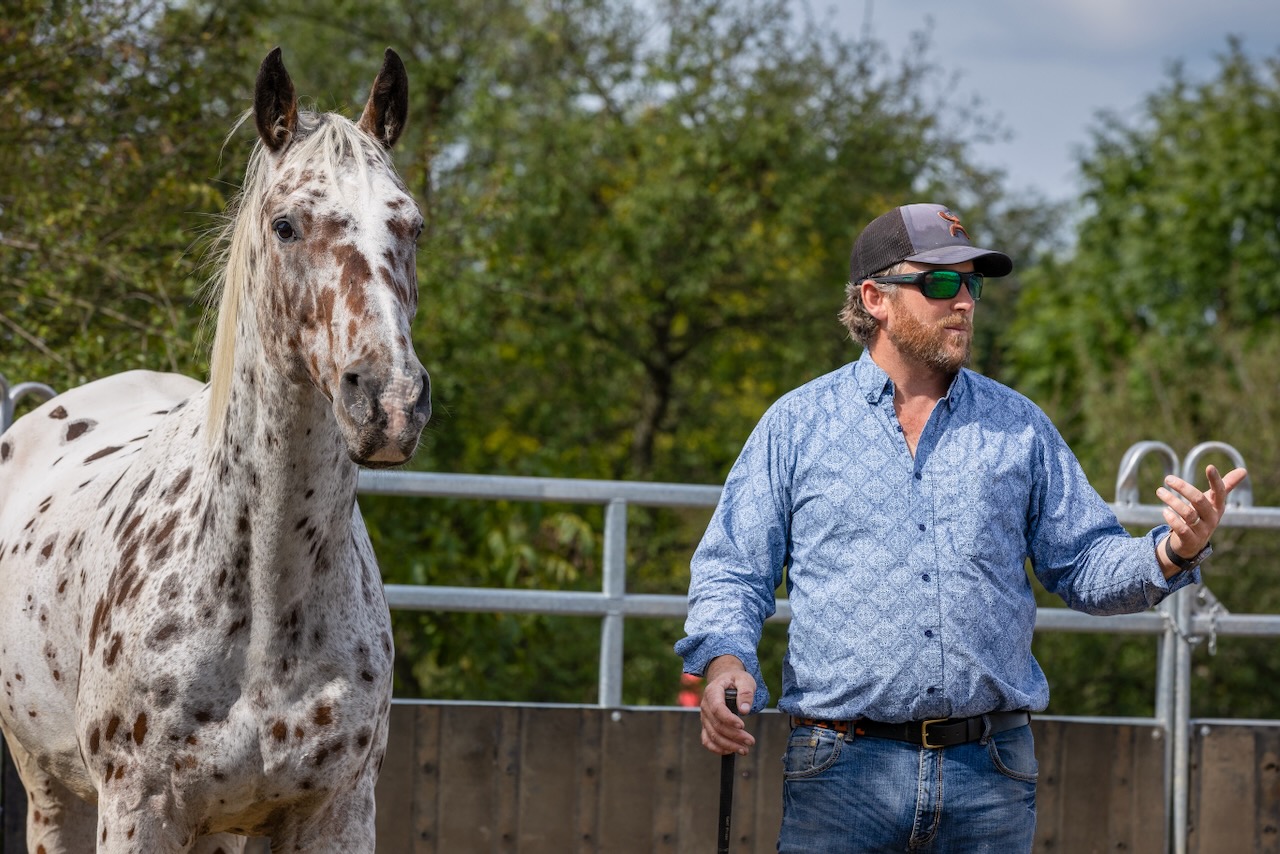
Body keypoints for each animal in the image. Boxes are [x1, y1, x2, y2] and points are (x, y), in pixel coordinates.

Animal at [0, 47, 429, 853]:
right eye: (286, 224)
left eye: (412, 224)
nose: (389, 402)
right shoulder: (137, 810)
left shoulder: (338, 811)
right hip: (49, 789)